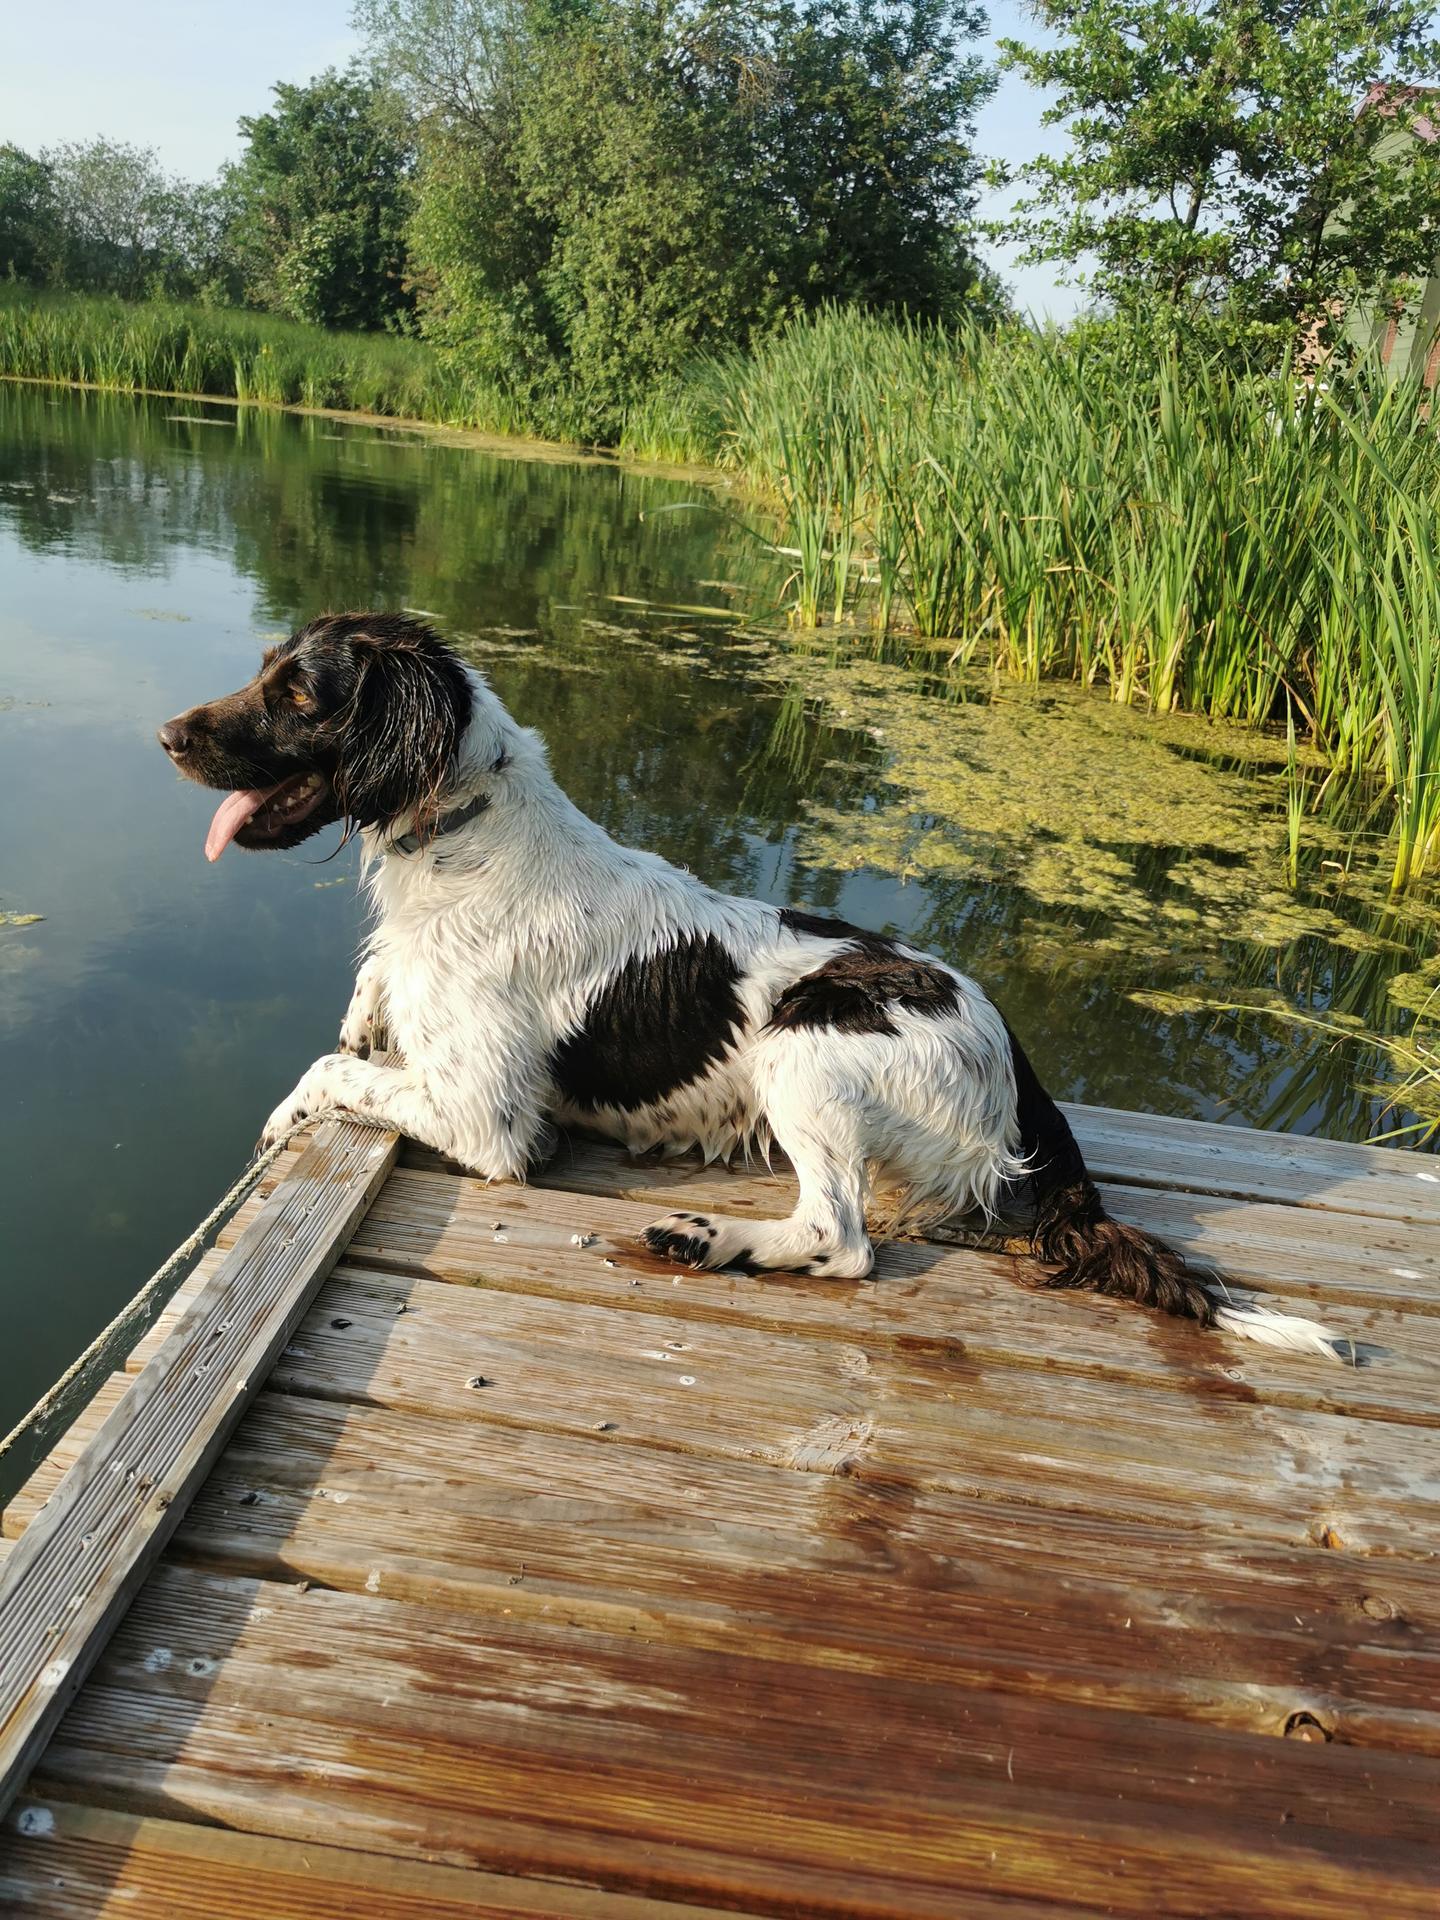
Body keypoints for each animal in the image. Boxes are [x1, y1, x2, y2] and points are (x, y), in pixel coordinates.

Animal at [160, 610, 1344, 1351]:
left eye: (300, 692)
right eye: (268, 669)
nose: (168, 733)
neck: (464, 840)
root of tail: (1012, 1052)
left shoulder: (491, 1122)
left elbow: (330, 1074)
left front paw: (279, 1120)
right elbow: (362, 1019)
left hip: (804, 1043)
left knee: (842, 1240)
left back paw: (707, 1239)